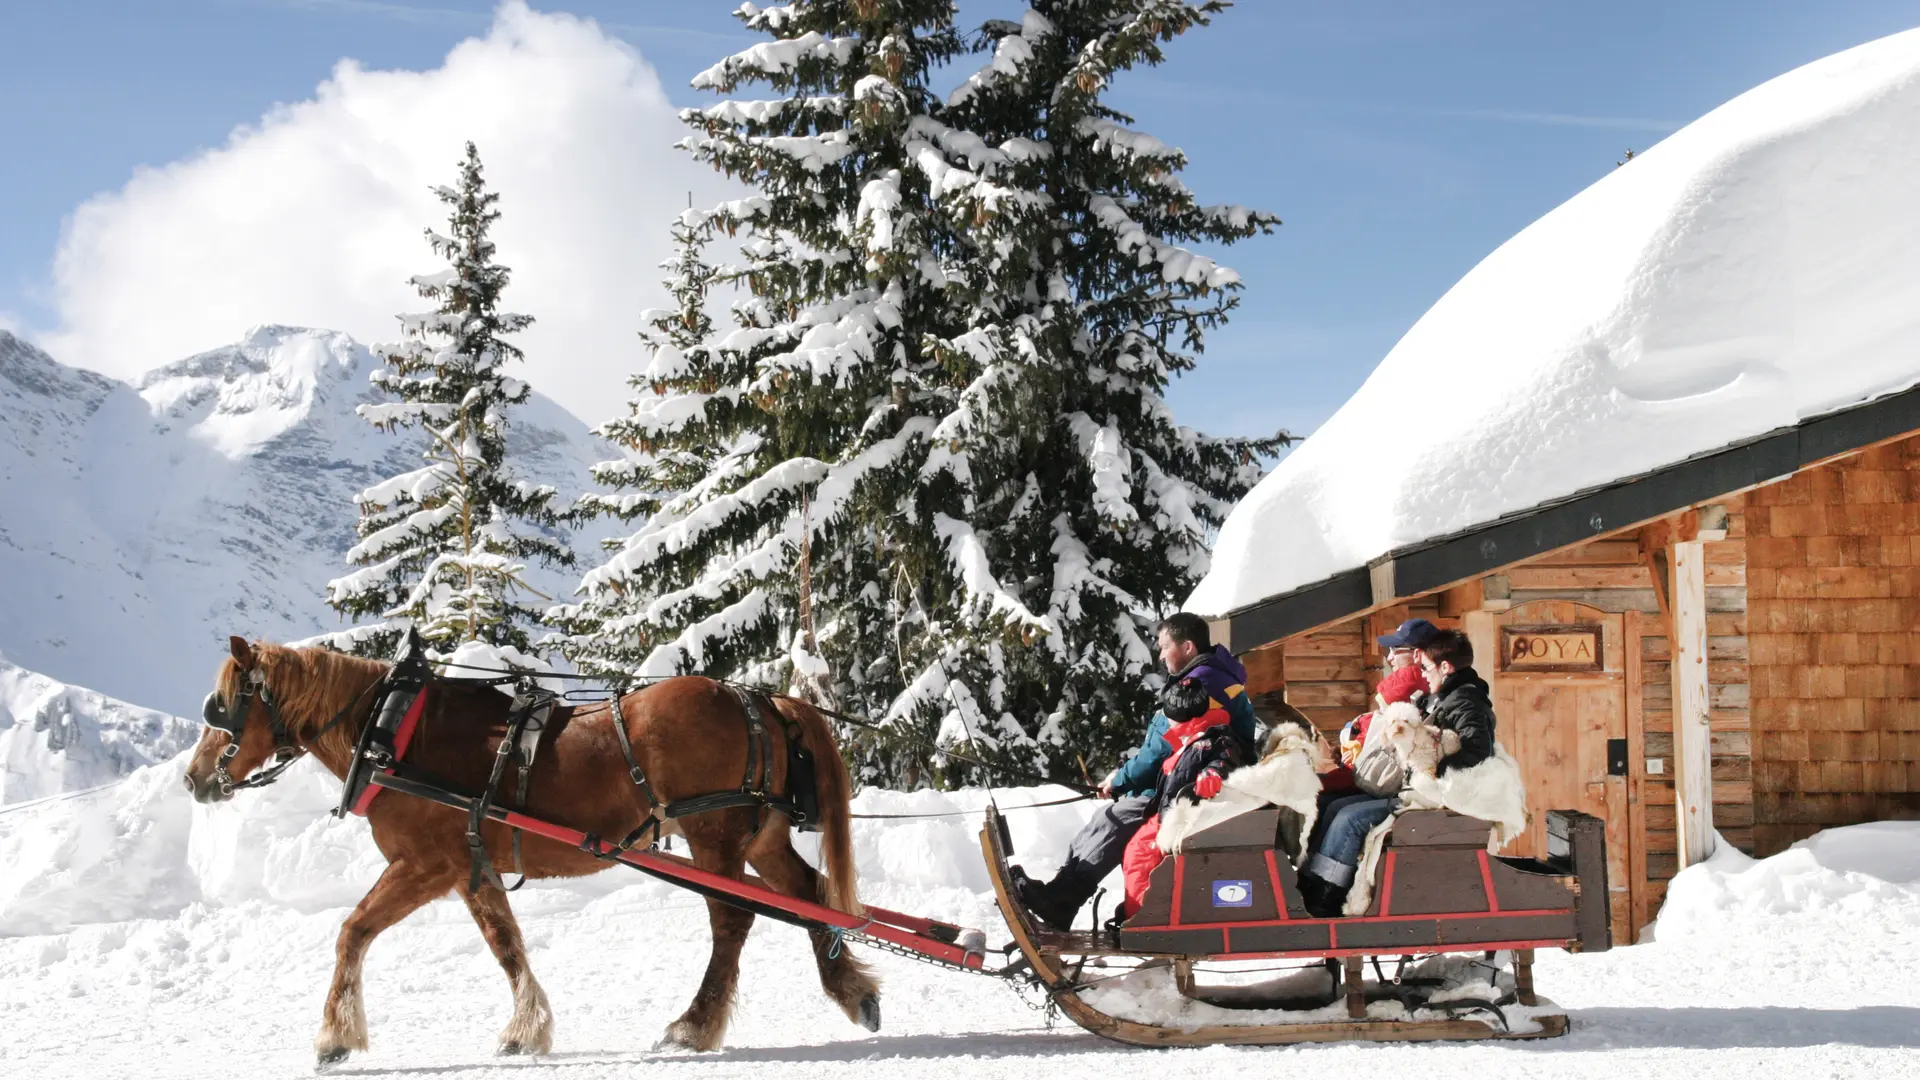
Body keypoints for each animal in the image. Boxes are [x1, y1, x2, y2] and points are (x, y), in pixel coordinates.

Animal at [183, 634, 875, 1060]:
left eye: (225, 706)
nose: (193, 779)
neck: (394, 733)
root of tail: (759, 698)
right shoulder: (471, 867)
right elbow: (505, 944)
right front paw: (527, 1028)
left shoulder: (425, 864)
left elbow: (353, 930)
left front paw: (335, 1035)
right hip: (760, 837)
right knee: (810, 895)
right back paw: (852, 991)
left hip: (715, 838)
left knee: (733, 921)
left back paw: (694, 1025)